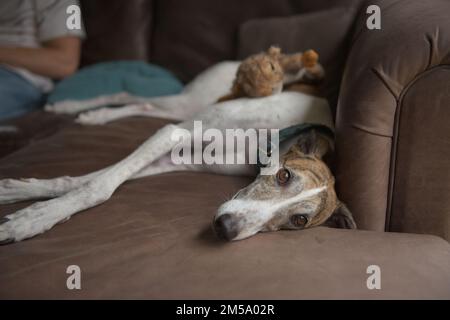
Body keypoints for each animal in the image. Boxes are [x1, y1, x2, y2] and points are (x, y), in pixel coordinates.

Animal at [0, 61, 356, 244]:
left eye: (299, 220)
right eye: (283, 175)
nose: (226, 228)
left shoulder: (178, 156)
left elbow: (86, 180)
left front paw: (22, 194)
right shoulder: (174, 134)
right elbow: (98, 186)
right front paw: (32, 220)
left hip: (183, 110)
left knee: (144, 105)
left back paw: (94, 116)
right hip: (190, 103)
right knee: (129, 94)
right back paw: (73, 107)